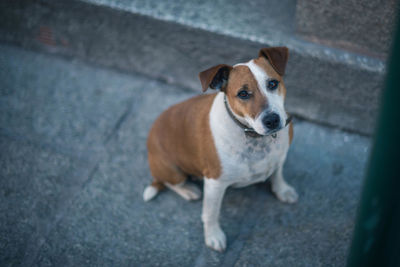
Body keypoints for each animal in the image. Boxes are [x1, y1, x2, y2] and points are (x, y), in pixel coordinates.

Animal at [143, 47, 296, 252]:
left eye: (272, 83)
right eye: (243, 94)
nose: (272, 120)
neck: (253, 136)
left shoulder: (280, 156)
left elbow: (278, 173)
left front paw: (282, 190)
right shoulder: (215, 184)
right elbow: (211, 213)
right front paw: (213, 236)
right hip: (172, 171)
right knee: (169, 182)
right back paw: (188, 190)